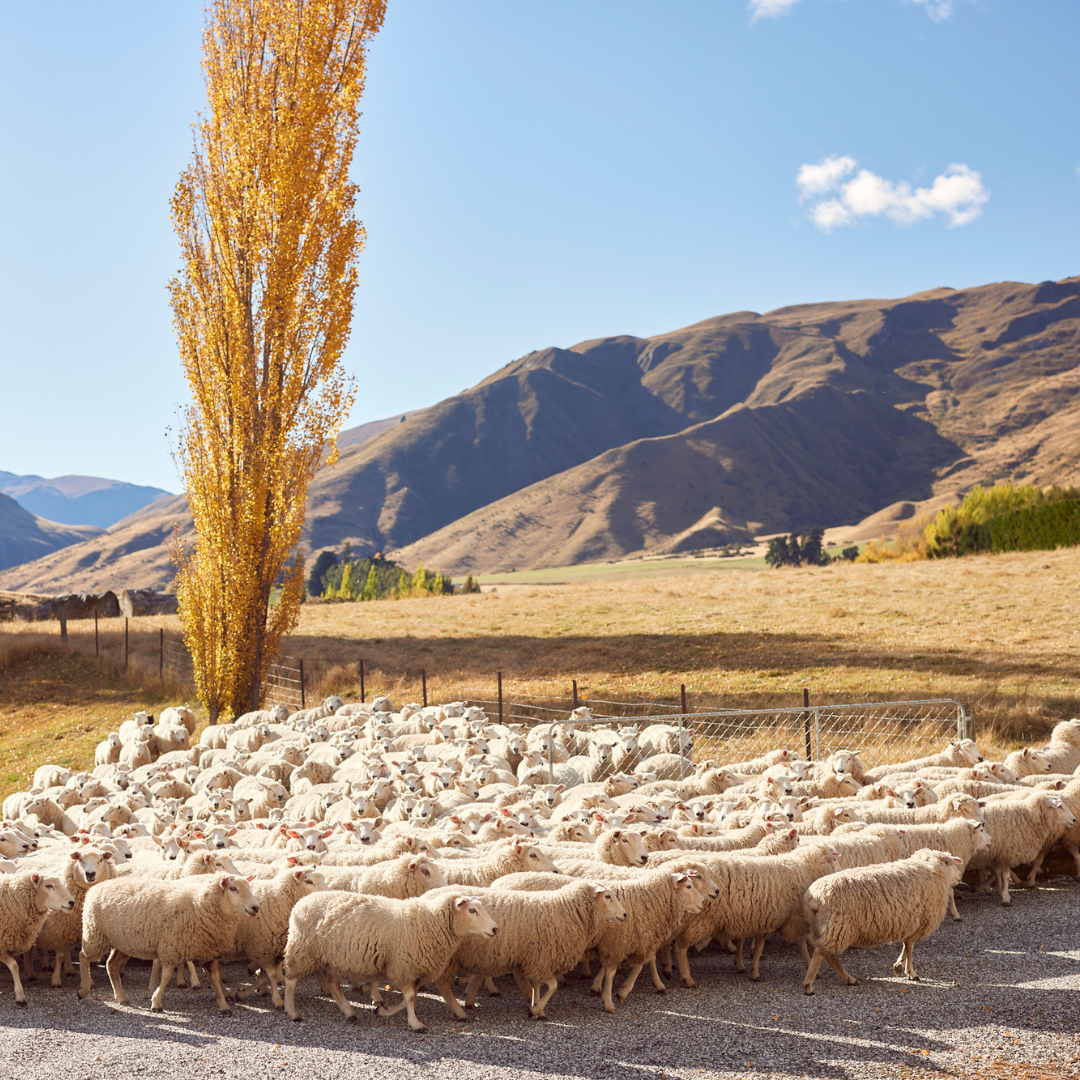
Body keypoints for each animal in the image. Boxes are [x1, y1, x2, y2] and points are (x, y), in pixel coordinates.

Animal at [78, 873, 259, 1013]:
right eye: (233, 888)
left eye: (249, 887)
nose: (256, 907)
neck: (198, 905)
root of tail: (96, 887)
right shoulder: (171, 948)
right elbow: (165, 976)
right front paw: (156, 1002)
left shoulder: (209, 951)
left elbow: (214, 978)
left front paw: (223, 1005)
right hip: (95, 935)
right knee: (84, 957)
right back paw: (84, 990)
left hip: (123, 942)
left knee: (111, 965)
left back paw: (121, 997)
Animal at [282, 890, 497, 1028]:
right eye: (472, 910)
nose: (495, 929)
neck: (430, 921)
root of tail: (301, 902)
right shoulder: (404, 966)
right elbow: (410, 997)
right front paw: (415, 1024)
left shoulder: (411, 969)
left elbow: (409, 997)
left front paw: (384, 1011)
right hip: (302, 950)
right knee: (291, 980)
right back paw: (292, 1012)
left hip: (336, 959)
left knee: (333, 984)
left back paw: (349, 1013)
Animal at [432, 880, 628, 1019]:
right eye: (607, 896)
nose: (625, 914)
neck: (565, 910)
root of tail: (430, 893)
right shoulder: (542, 959)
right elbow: (553, 986)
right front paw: (536, 1009)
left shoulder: (537, 959)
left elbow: (537, 985)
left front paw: (536, 1005)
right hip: (446, 955)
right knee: (443, 985)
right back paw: (460, 1012)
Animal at [802, 848, 964, 994]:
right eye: (950, 862)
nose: (959, 877)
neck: (932, 870)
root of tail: (815, 897)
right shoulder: (918, 922)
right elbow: (910, 947)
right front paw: (910, 972)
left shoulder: (909, 921)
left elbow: (906, 945)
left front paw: (899, 965)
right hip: (837, 928)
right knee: (821, 954)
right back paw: (809, 985)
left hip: (825, 928)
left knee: (829, 955)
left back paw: (849, 979)